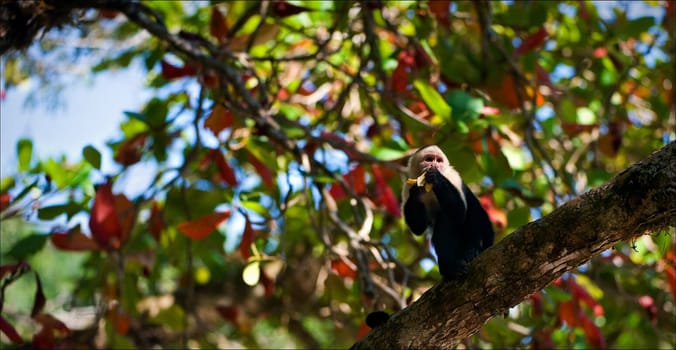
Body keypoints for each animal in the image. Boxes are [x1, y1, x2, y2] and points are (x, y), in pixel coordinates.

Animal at [404, 144, 494, 278]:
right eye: (429, 159)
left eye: (439, 161)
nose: (434, 165)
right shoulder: (407, 186)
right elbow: (418, 228)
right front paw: (416, 191)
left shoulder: (452, 176)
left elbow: (459, 213)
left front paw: (435, 178)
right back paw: (448, 269)